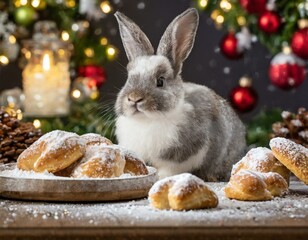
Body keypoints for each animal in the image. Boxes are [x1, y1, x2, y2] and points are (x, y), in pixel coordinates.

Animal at [114, 7, 247, 182]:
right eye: (129, 78)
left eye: (160, 81)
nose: (134, 98)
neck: (148, 120)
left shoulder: (182, 157)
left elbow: (168, 170)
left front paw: (160, 178)